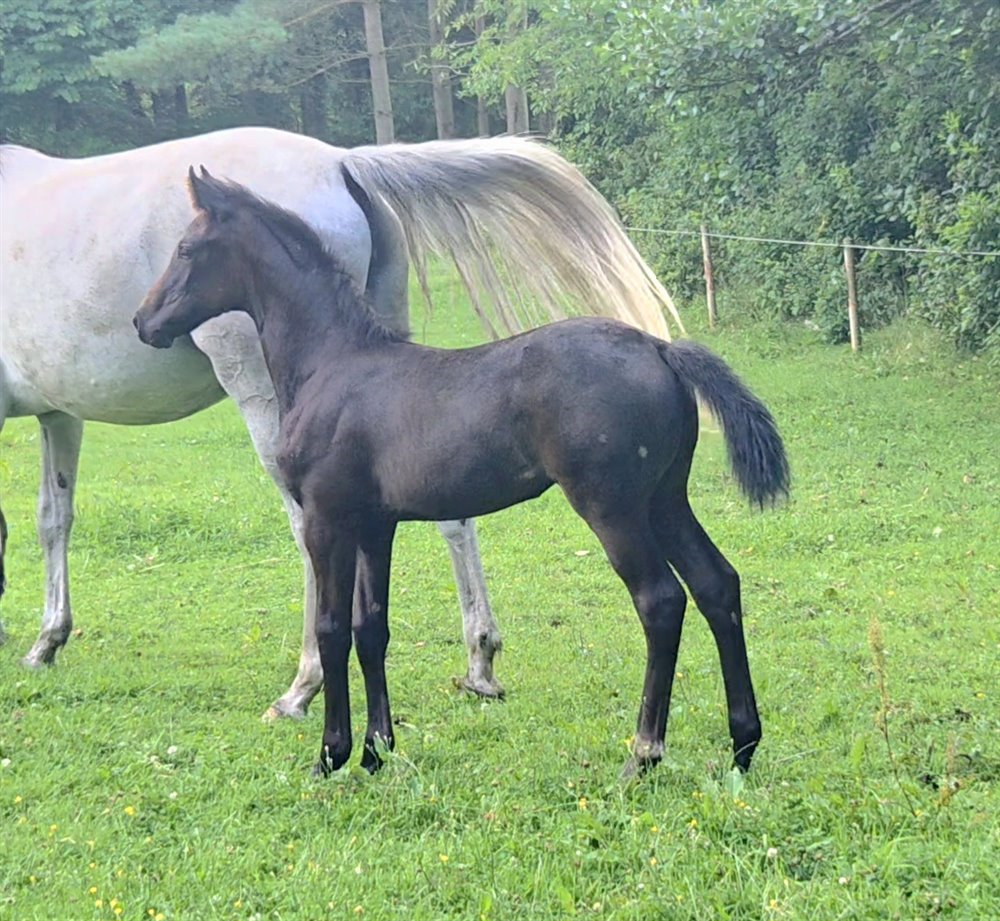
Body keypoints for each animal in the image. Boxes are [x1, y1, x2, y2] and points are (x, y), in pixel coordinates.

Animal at [0, 127, 683, 720]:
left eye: (187, 250)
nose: (142, 322)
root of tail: (342, 161)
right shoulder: (59, 412)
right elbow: (53, 516)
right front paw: (47, 639)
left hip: (260, 396)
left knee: (306, 529)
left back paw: (303, 686)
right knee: (452, 517)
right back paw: (479, 662)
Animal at [133, 169, 789, 777]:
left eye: (186, 249)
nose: (143, 322)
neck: (333, 364)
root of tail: (660, 348)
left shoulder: (327, 519)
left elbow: (331, 628)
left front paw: (331, 754)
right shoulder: (375, 525)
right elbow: (372, 628)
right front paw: (377, 751)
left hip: (613, 509)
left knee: (661, 601)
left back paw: (644, 752)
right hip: (666, 501)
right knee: (716, 584)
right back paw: (743, 744)